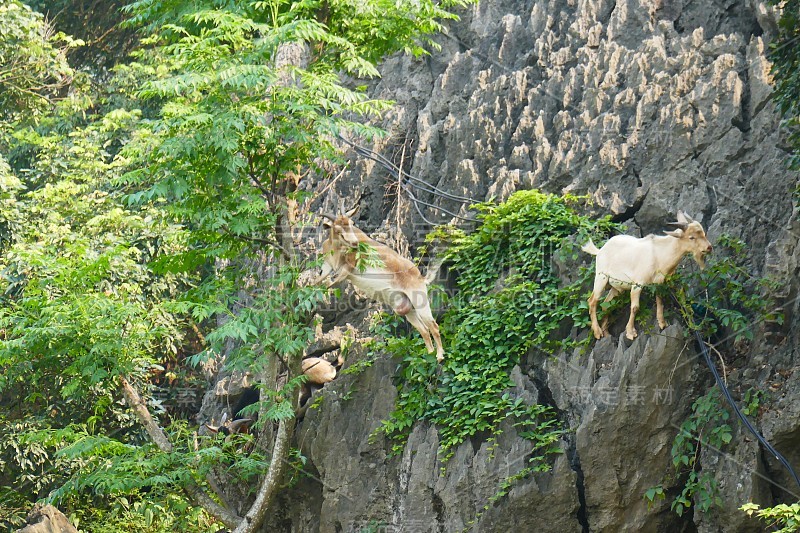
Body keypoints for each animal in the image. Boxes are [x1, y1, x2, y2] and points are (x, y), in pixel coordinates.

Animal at [318, 206, 444, 360]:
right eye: (337, 228)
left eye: (351, 223)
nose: (355, 243)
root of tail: (421, 278)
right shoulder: (327, 267)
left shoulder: (347, 269)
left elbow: (330, 283)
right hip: (409, 310)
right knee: (424, 330)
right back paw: (429, 354)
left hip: (419, 301)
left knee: (433, 326)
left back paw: (439, 356)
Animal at [580, 210, 712, 338]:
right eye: (691, 237)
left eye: (703, 233)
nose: (709, 247)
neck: (659, 254)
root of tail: (600, 251)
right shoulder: (637, 284)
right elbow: (635, 307)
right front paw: (630, 332)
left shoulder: (658, 283)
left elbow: (660, 300)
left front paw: (662, 323)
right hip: (601, 278)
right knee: (592, 301)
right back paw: (597, 332)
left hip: (616, 288)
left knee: (606, 305)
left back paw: (606, 332)